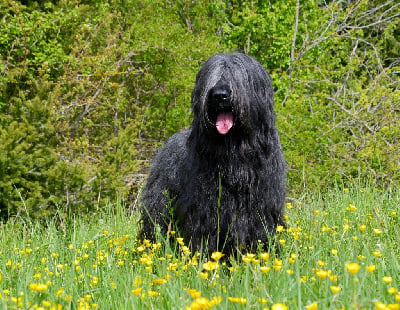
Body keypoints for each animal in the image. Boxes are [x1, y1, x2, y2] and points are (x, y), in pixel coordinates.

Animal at [139, 52, 286, 254]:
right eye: (212, 77)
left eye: (236, 75)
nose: (219, 95)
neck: (233, 154)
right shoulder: (205, 210)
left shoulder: (263, 206)